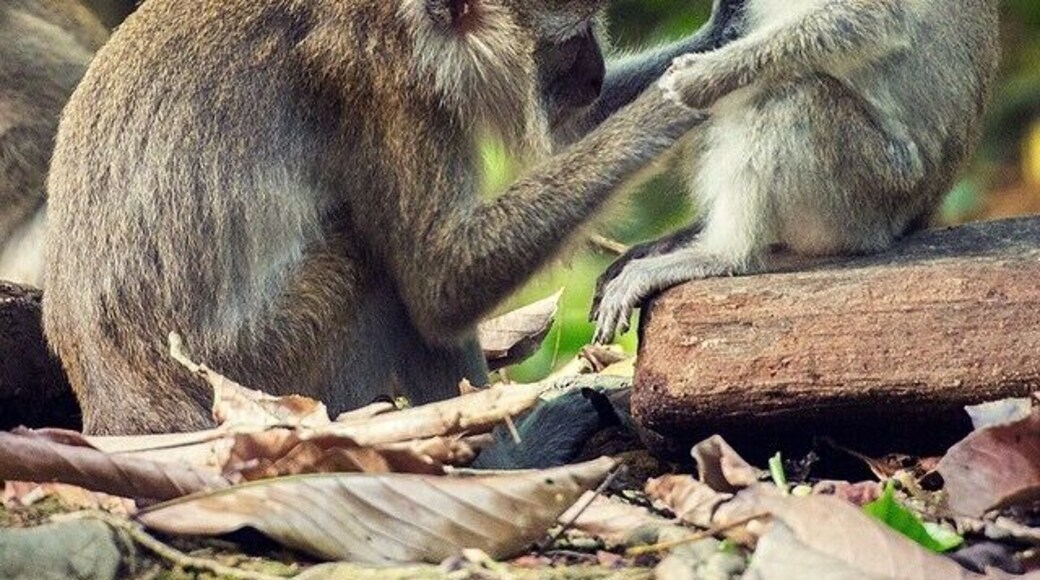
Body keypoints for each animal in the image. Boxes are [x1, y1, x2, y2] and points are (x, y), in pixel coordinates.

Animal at [42, 0, 763, 435]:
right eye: (569, 40)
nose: (593, 74)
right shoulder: (380, 74)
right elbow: (442, 283)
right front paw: (680, 100)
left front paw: (724, 43)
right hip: (261, 378)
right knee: (374, 267)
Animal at [592, 0, 1001, 343]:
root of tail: (917, 214)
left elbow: (869, 15)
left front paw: (706, 75)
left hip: (872, 189)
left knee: (791, 93)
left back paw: (724, 256)